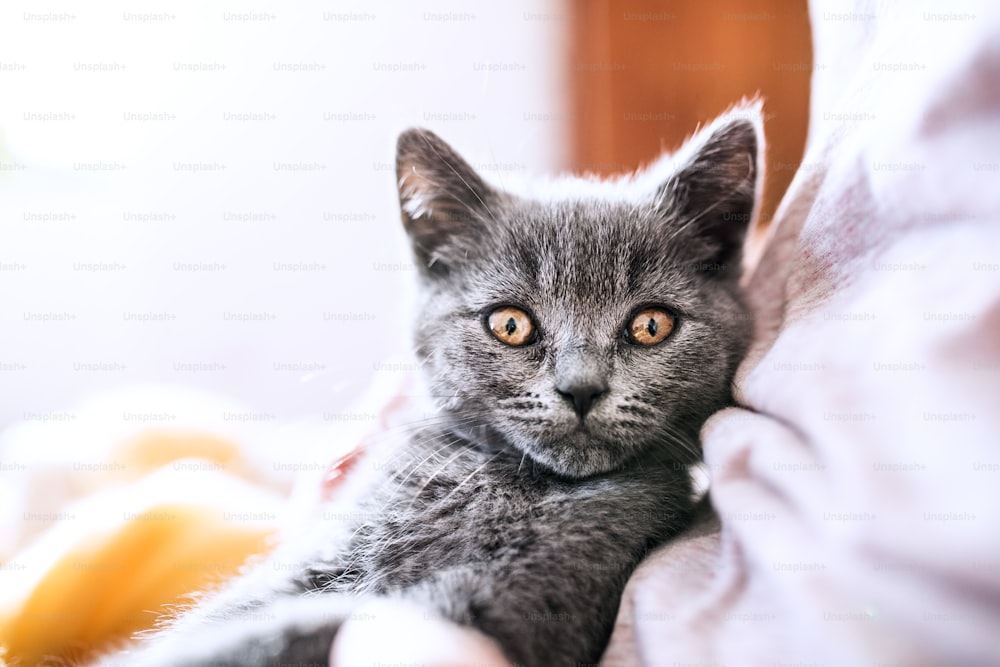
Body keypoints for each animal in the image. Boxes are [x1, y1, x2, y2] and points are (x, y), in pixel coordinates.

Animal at [97, 107, 760, 667]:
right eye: (510, 324)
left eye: (650, 325)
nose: (580, 389)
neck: (507, 486)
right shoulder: (315, 560)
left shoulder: (512, 598)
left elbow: (314, 625)